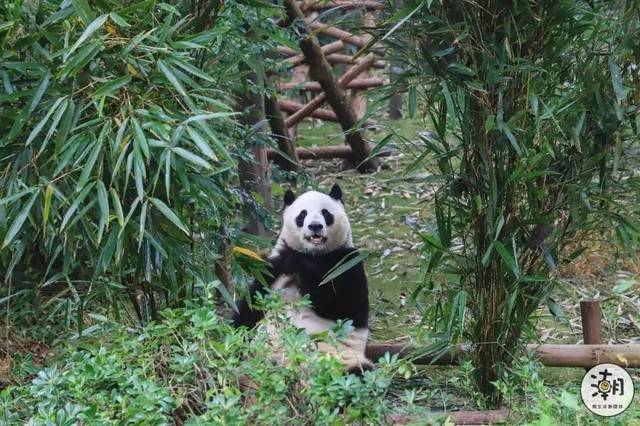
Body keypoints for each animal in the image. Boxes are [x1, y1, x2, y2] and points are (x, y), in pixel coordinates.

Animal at [232, 183, 372, 372]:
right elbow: (252, 304)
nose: (315, 226)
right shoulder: (273, 270)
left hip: (343, 359)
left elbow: (343, 306)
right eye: (302, 215)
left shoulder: (347, 262)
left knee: (360, 371)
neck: (315, 254)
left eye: (326, 213)